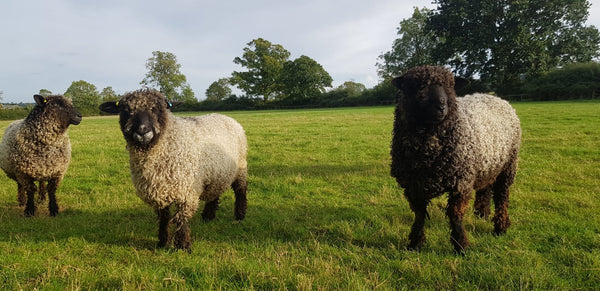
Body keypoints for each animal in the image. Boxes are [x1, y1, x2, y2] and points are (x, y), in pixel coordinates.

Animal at [99, 89, 247, 251]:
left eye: (158, 109)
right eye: (126, 110)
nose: (143, 131)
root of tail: (226, 117)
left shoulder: (187, 190)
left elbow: (182, 218)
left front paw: (182, 246)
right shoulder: (159, 190)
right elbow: (164, 218)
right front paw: (162, 242)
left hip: (241, 167)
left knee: (241, 190)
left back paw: (239, 216)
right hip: (217, 172)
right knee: (215, 191)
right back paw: (208, 217)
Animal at [390, 66, 520, 253]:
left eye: (450, 86)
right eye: (419, 86)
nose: (441, 106)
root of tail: (494, 96)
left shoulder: (461, 182)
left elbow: (455, 214)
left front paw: (460, 245)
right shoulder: (413, 185)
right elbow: (419, 215)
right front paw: (415, 243)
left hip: (508, 166)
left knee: (502, 197)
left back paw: (500, 227)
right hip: (487, 164)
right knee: (485, 188)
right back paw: (482, 214)